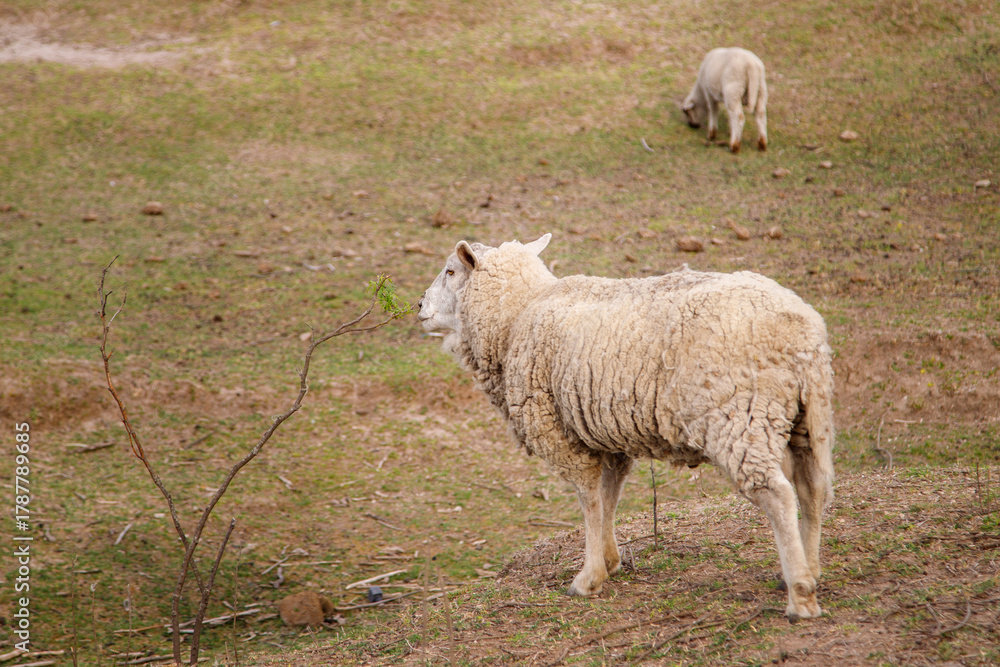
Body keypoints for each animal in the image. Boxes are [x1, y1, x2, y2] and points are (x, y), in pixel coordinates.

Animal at [417, 234, 835, 620]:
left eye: (450, 271)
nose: (419, 306)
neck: (515, 317)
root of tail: (802, 331)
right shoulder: (605, 433)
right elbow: (609, 495)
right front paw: (609, 558)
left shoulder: (558, 431)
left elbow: (588, 499)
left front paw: (588, 577)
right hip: (805, 419)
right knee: (811, 488)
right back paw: (810, 570)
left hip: (739, 417)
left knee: (778, 495)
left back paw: (799, 594)